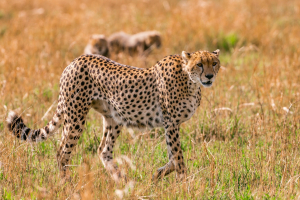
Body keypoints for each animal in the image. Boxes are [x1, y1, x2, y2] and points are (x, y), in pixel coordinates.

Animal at [6, 48, 220, 181]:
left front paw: (157, 174)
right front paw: (185, 183)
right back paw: (67, 184)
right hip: (75, 118)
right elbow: (178, 158)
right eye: (200, 64)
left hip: (114, 118)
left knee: (103, 150)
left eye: (215, 63)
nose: (210, 76)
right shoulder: (171, 123)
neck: (190, 81)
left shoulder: (171, 125)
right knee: (62, 152)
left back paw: (120, 179)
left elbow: (173, 158)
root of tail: (75, 60)